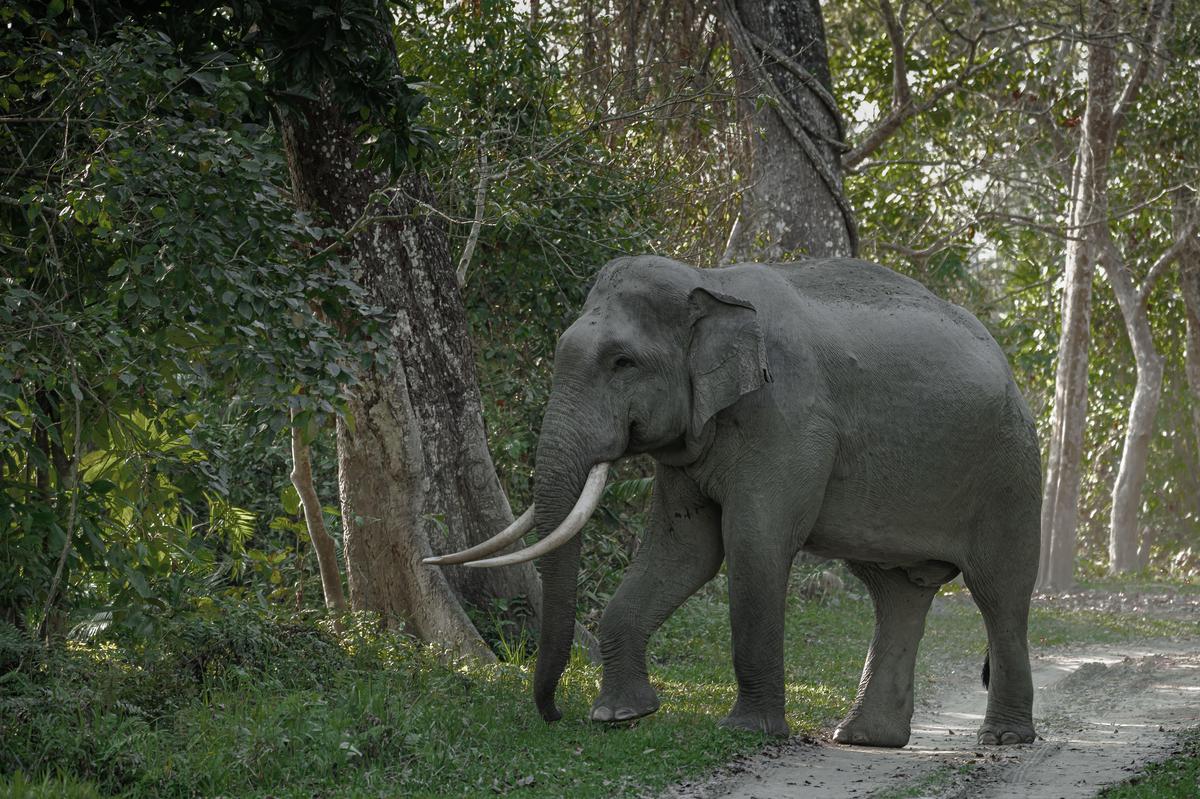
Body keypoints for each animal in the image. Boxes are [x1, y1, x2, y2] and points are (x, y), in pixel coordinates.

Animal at [432, 255, 1041, 748]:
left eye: (622, 362)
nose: (554, 715)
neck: (710, 281)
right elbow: (684, 551)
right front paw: (619, 716)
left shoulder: (787, 419)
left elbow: (753, 544)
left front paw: (748, 732)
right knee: (895, 593)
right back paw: (864, 739)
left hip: (1010, 473)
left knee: (999, 592)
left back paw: (1003, 739)